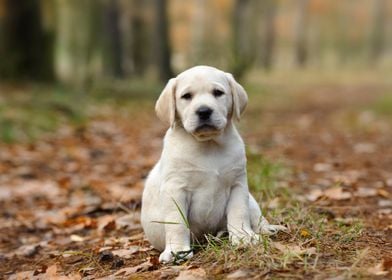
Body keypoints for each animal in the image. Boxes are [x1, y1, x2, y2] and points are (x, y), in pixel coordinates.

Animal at [141, 65, 284, 262]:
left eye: (218, 93)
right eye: (186, 96)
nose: (203, 111)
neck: (208, 145)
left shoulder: (238, 184)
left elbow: (239, 212)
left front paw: (243, 237)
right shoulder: (175, 189)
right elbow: (177, 222)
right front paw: (177, 250)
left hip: (252, 201)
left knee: (256, 217)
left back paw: (265, 229)